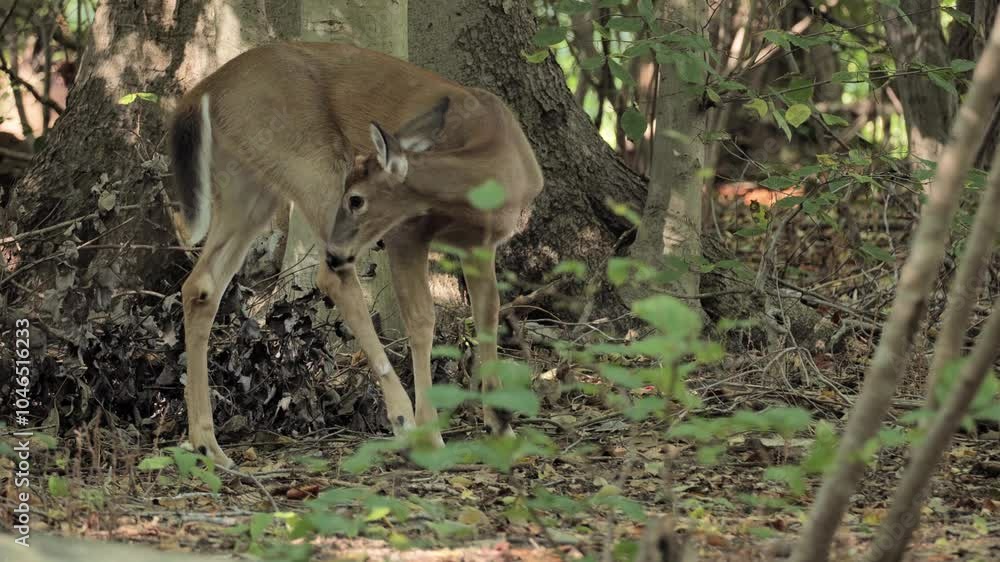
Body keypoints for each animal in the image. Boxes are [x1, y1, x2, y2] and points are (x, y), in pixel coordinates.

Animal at [168, 42, 544, 467]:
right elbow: (422, 320)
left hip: (249, 183)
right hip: (309, 162)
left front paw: (501, 425)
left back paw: (207, 445)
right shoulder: (406, 233)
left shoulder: (479, 245)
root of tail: (203, 90)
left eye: (358, 199)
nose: (335, 250)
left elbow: (487, 315)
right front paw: (430, 435)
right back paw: (402, 419)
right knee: (329, 278)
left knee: (201, 285)